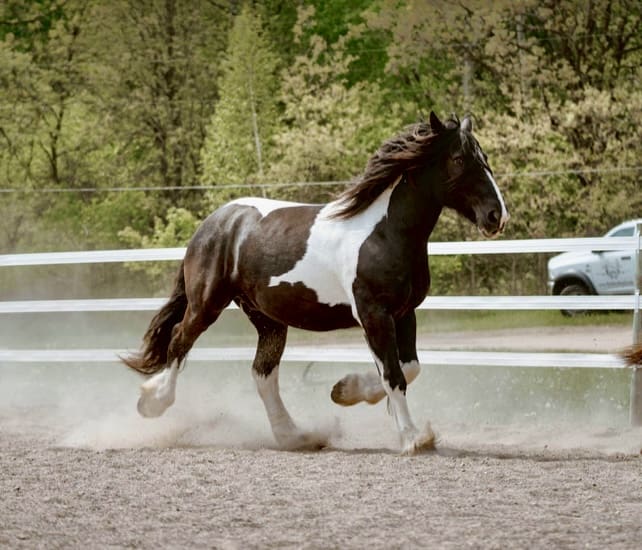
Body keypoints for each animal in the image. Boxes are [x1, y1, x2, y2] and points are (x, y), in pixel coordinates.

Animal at [122, 111, 509, 454]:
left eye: (485, 157)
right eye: (459, 158)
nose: (497, 216)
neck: (384, 233)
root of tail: (216, 221)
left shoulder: (404, 313)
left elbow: (410, 368)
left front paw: (344, 391)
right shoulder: (374, 314)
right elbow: (394, 374)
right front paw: (414, 439)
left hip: (268, 320)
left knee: (262, 374)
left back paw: (297, 437)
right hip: (207, 304)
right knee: (179, 341)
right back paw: (151, 402)